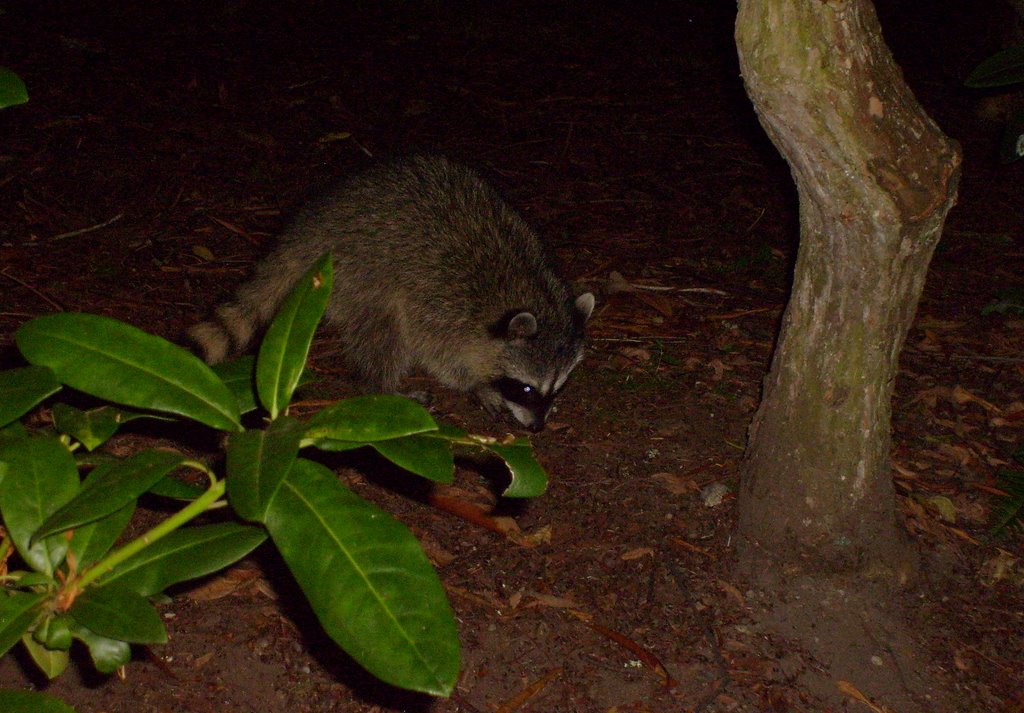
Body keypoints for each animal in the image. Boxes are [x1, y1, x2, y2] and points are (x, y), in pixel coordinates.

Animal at [188, 156, 598, 432]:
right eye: (525, 388)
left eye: (557, 388)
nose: (538, 428)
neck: (526, 288)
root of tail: (306, 231)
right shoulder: (439, 301)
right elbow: (434, 349)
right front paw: (475, 384)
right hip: (359, 271)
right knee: (383, 329)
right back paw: (382, 385)